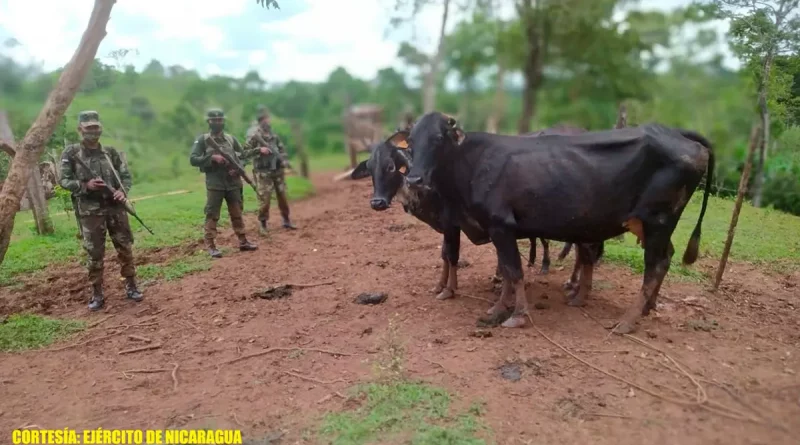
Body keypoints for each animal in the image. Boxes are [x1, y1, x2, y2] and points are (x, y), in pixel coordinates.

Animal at [404, 112, 716, 332]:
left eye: (438, 138)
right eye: (411, 143)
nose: (414, 179)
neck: (473, 164)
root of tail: (675, 133)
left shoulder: (501, 225)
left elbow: (514, 271)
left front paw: (516, 315)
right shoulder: (497, 229)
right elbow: (506, 270)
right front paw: (497, 310)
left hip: (658, 221)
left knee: (655, 266)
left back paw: (627, 321)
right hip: (656, 227)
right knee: (666, 257)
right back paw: (647, 308)